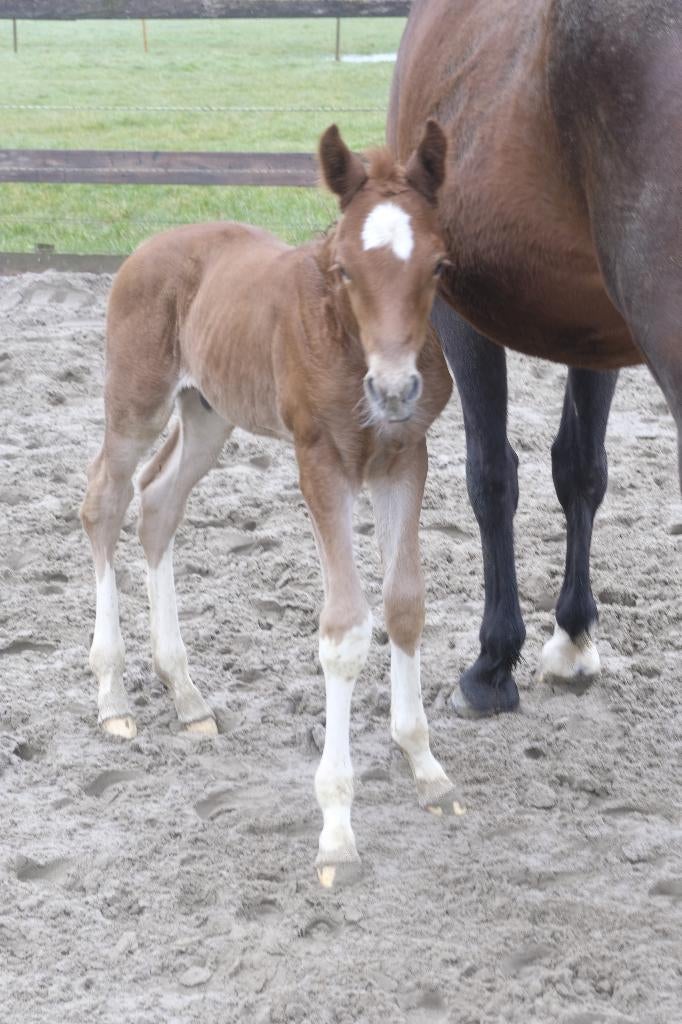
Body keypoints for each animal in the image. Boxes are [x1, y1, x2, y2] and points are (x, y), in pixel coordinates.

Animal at [80, 122, 464, 887]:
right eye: (344, 269)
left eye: (438, 265)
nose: (395, 390)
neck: (347, 344)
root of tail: (146, 246)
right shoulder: (321, 462)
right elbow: (345, 630)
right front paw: (337, 833)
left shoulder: (405, 458)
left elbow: (405, 605)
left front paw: (425, 765)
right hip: (137, 401)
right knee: (104, 500)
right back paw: (113, 696)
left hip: (208, 412)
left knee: (158, 504)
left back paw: (187, 695)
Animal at [388, 0, 681, 717]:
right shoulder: (594, 329)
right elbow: (581, 468)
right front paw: (573, 639)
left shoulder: (454, 309)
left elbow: (490, 473)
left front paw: (493, 661)